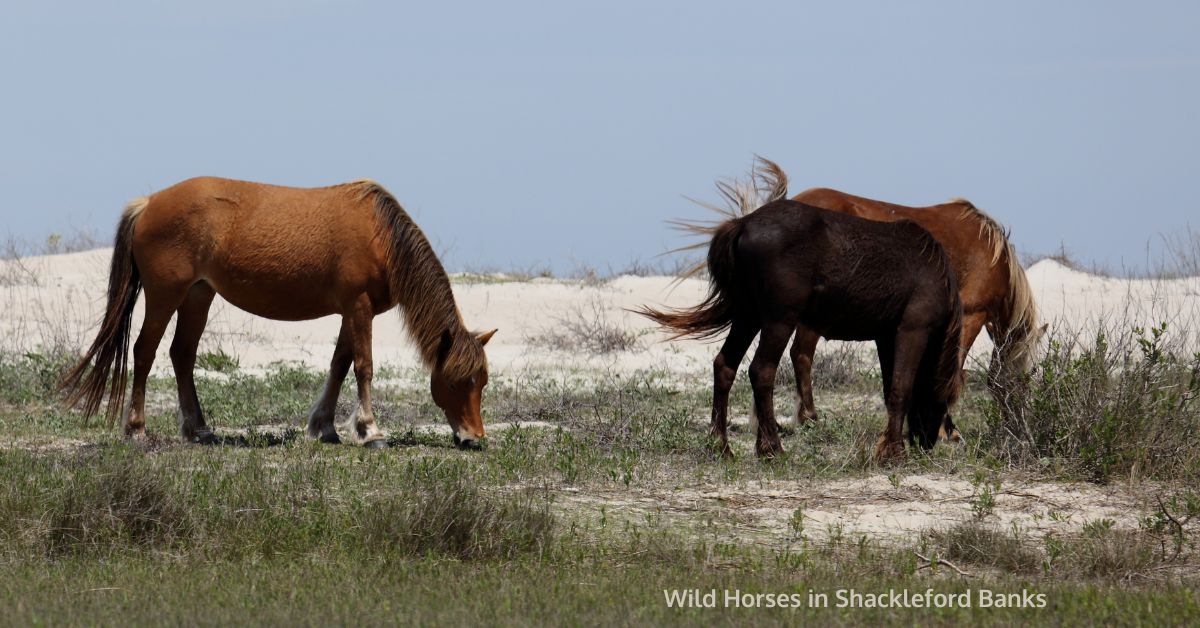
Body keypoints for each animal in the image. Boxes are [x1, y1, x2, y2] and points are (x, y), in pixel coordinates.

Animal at [58, 176, 492, 449]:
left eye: (483, 382)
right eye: (458, 381)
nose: (474, 437)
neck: (381, 236)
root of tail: (148, 203)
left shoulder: (349, 311)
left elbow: (338, 364)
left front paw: (324, 427)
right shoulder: (359, 307)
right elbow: (363, 367)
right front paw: (370, 431)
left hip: (198, 295)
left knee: (182, 355)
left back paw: (199, 430)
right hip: (165, 295)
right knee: (144, 353)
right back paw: (136, 429)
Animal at [643, 158, 960, 461]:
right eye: (944, 400)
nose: (926, 441)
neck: (936, 272)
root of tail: (744, 223)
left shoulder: (885, 336)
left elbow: (889, 388)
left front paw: (889, 447)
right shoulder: (912, 330)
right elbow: (900, 389)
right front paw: (893, 452)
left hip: (747, 317)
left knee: (725, 366)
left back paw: (721, 447)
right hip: (778, 321)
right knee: (761, 371)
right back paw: (772, 448)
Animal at [787, 187, 1041, 432]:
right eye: (1024, 380)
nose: (1018, 429)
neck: (994, 256)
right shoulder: (972, 316)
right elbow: (951, 372)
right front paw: (945, 429)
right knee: (802, 355)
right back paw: (809, 416)